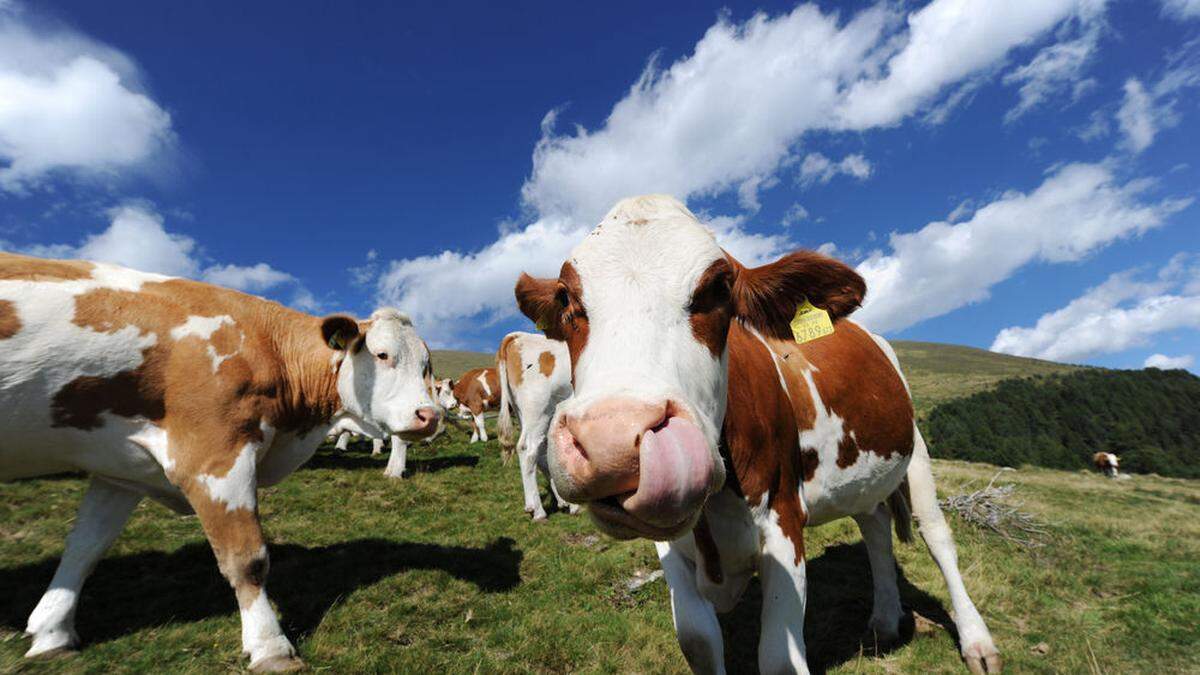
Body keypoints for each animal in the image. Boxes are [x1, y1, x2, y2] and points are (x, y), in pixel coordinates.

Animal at [0, 253, 441, 672]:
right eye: (382, 355)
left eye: (426, 366)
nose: (429, 415)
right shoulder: (216, 455)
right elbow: (247, 558)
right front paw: (270, 647)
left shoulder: (120, 470)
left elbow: (84, 550)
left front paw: (52, 633)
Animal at [492, 329, 576, 514]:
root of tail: (518, 336)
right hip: (538, 409)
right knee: (527, 449)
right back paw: (537, 510)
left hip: (526, 413)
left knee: (542, 453)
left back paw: (565, 502)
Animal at [511, 194, 998, 672]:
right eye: (566, 298)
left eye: (717, 289)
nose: (611, 444)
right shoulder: (671, 546)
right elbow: (698, 641)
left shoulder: (783, 520)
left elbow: (780, 659)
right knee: (875, 525)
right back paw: (883, 622)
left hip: (914, 451)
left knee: (937, 536)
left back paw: (977, 642)